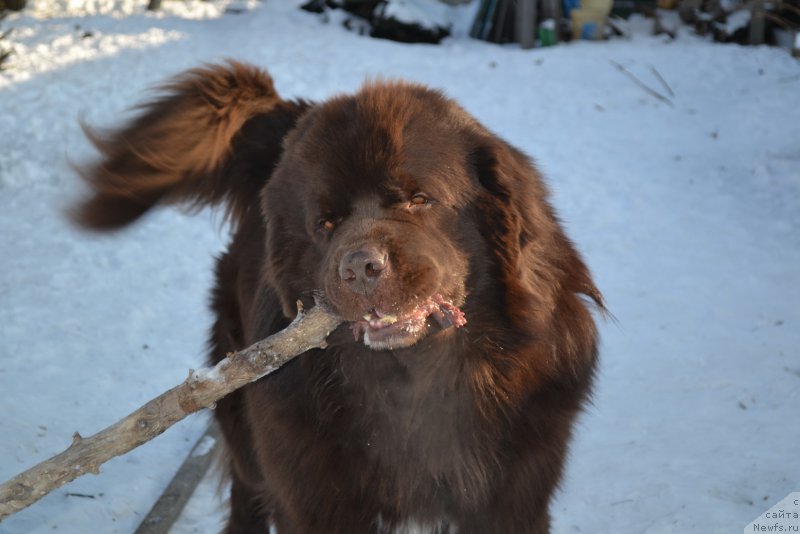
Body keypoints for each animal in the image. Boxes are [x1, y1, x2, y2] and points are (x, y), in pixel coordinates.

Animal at [73, 61, 600, 534]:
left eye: (419, 199)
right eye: (327, 222)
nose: (360, 268)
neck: (415, 382)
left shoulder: (513, 497)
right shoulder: (311, 499)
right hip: (242, 425)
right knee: (246, 491)